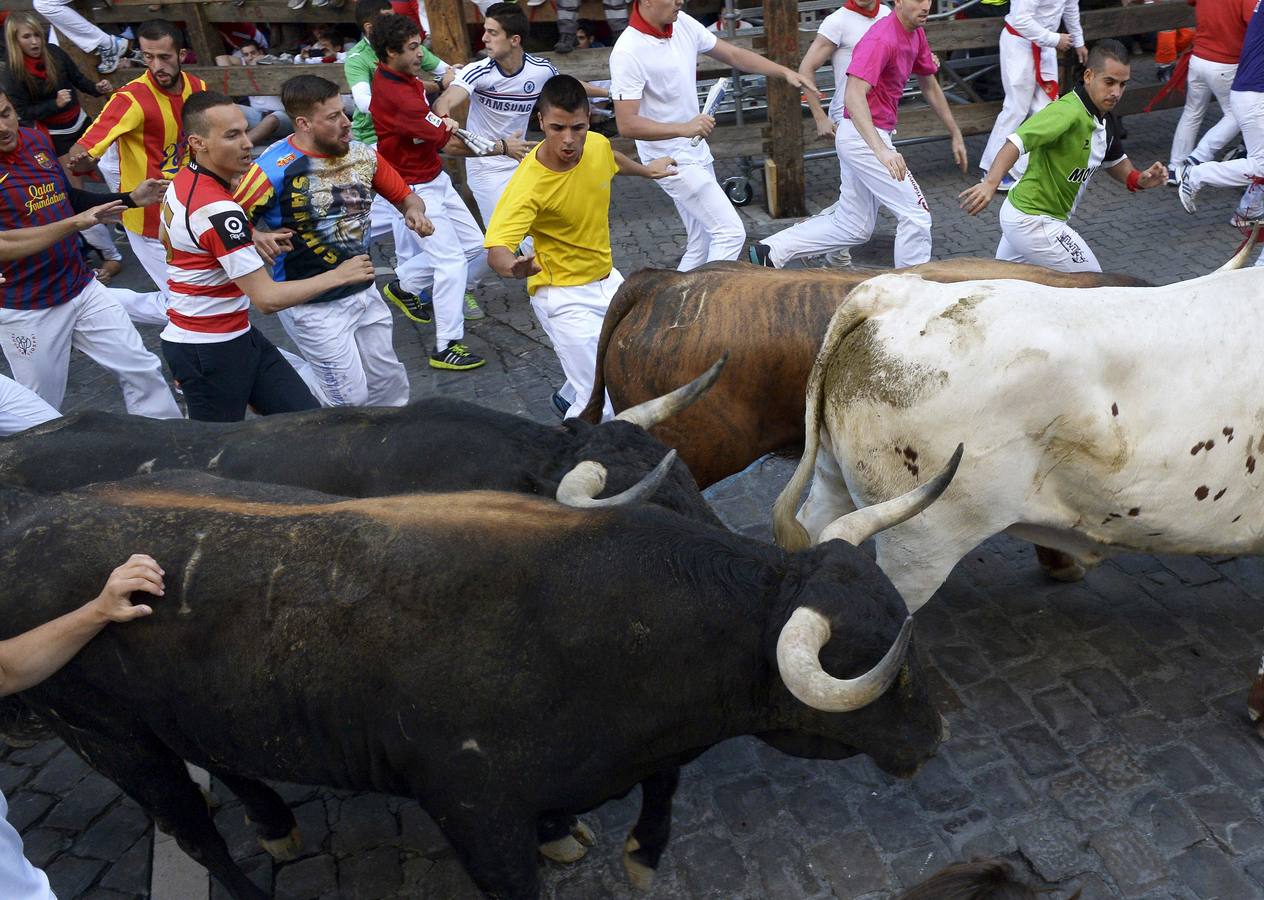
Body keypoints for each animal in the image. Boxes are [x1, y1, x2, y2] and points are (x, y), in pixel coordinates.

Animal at [0, 475, 945, 894]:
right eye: (875, 661)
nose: (934, 736)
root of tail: (30, 521)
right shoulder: (472, 809)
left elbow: (658, 781)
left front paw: (609, 843)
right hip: (111, 739)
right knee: (195, 833)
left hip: (197, 713)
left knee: (234, 765)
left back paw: (277, 826)